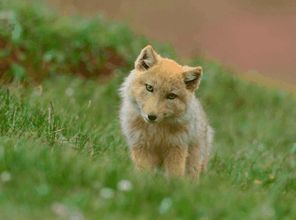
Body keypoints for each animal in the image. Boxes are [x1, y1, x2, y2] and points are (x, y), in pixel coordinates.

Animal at [119, 45, 214, 178]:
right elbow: (143, 173)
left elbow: (175, 176)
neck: (156, 133)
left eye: (171, 96)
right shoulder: (141, 146)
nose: (151, 116)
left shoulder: (176, 148)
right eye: (149, 88)